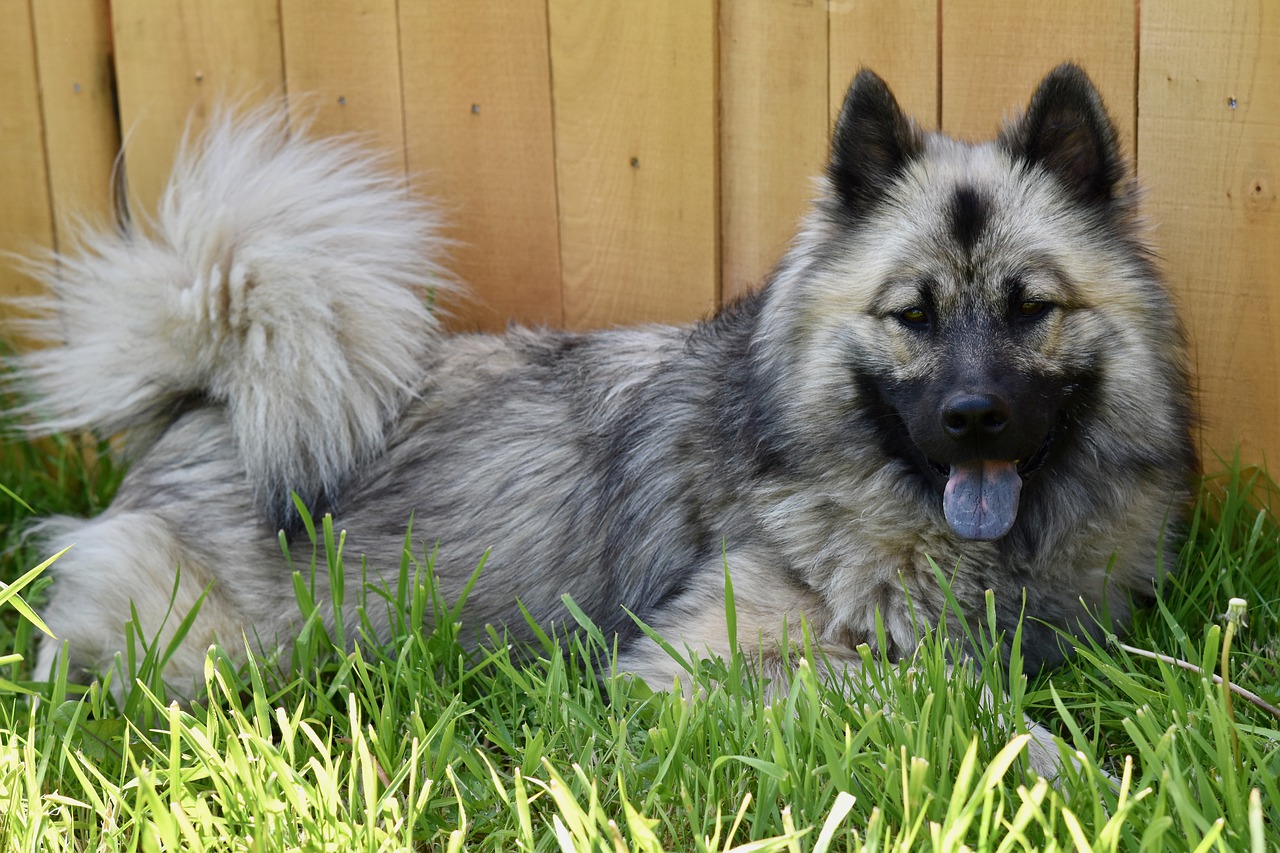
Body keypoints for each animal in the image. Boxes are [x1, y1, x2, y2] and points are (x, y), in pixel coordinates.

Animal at [5, 64, 1192, 712]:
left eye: (1029, 306)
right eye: (913, 315)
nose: (971, 417)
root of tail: (204, 401)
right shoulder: (697, 664)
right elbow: (915, 686)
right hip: (198, 647)